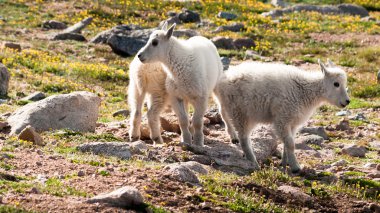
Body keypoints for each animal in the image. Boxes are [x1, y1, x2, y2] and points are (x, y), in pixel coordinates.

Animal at [214, 59, 350, 172]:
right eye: (336, 84)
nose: (347, 101)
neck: (305, 91)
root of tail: (222, 80)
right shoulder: (282, 118)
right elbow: (290, 143)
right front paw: (295, 167)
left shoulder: (292, 123)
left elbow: (288, 143)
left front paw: (285, 163)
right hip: (240, 112)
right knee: (244, 138)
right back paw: (253, 163)